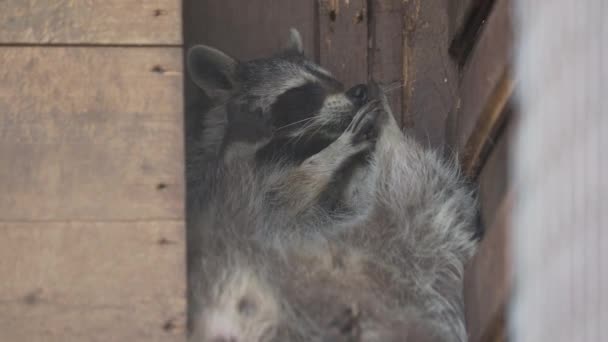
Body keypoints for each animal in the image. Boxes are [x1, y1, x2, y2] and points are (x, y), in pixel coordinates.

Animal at [186, 30, 480, 342]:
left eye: (332, 78)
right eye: (301, 91)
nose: (359, 90)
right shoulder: (216, 184)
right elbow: (275, 195)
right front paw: (329, 156)